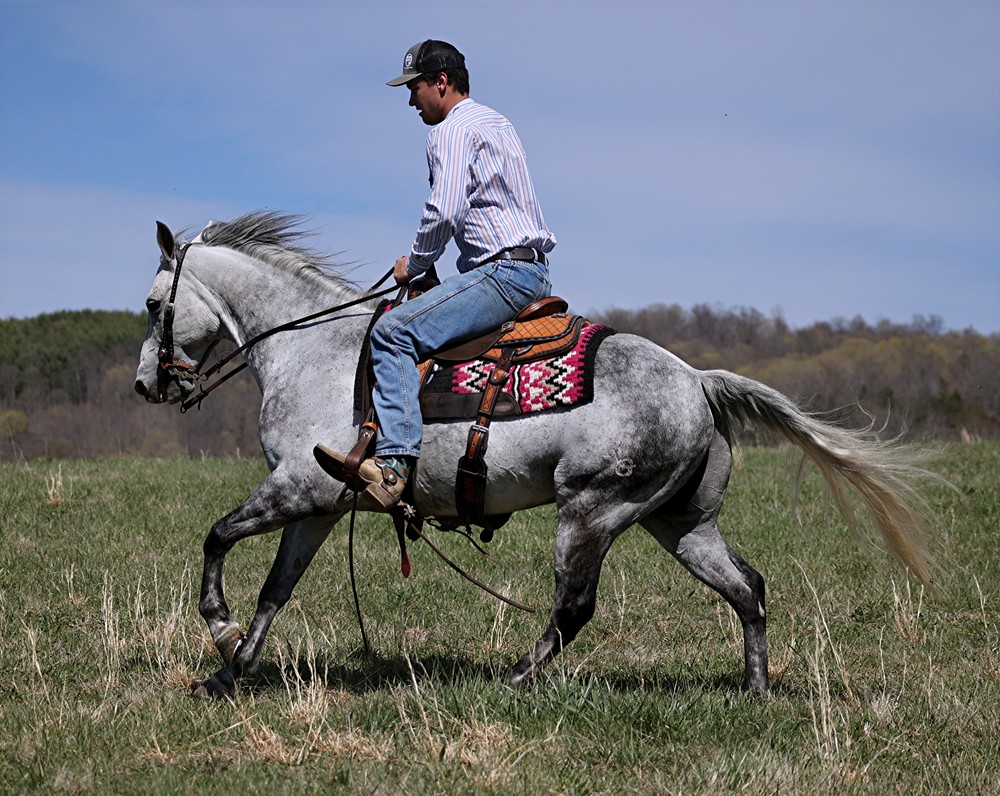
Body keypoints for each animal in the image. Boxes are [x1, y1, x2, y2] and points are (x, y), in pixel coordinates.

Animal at [134, 211, 938, 699]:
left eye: (150, 305)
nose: (147, 383)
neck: (317, 351)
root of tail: (698, 381)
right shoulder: (320, 503)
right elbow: (277, 587)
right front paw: (233, 671)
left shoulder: (298, 485)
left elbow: (216, 538)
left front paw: (219, 628)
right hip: (680, 522)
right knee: (747, 588)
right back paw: (756, 688)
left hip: (590, 511)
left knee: (574, 607)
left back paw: (516, 681)